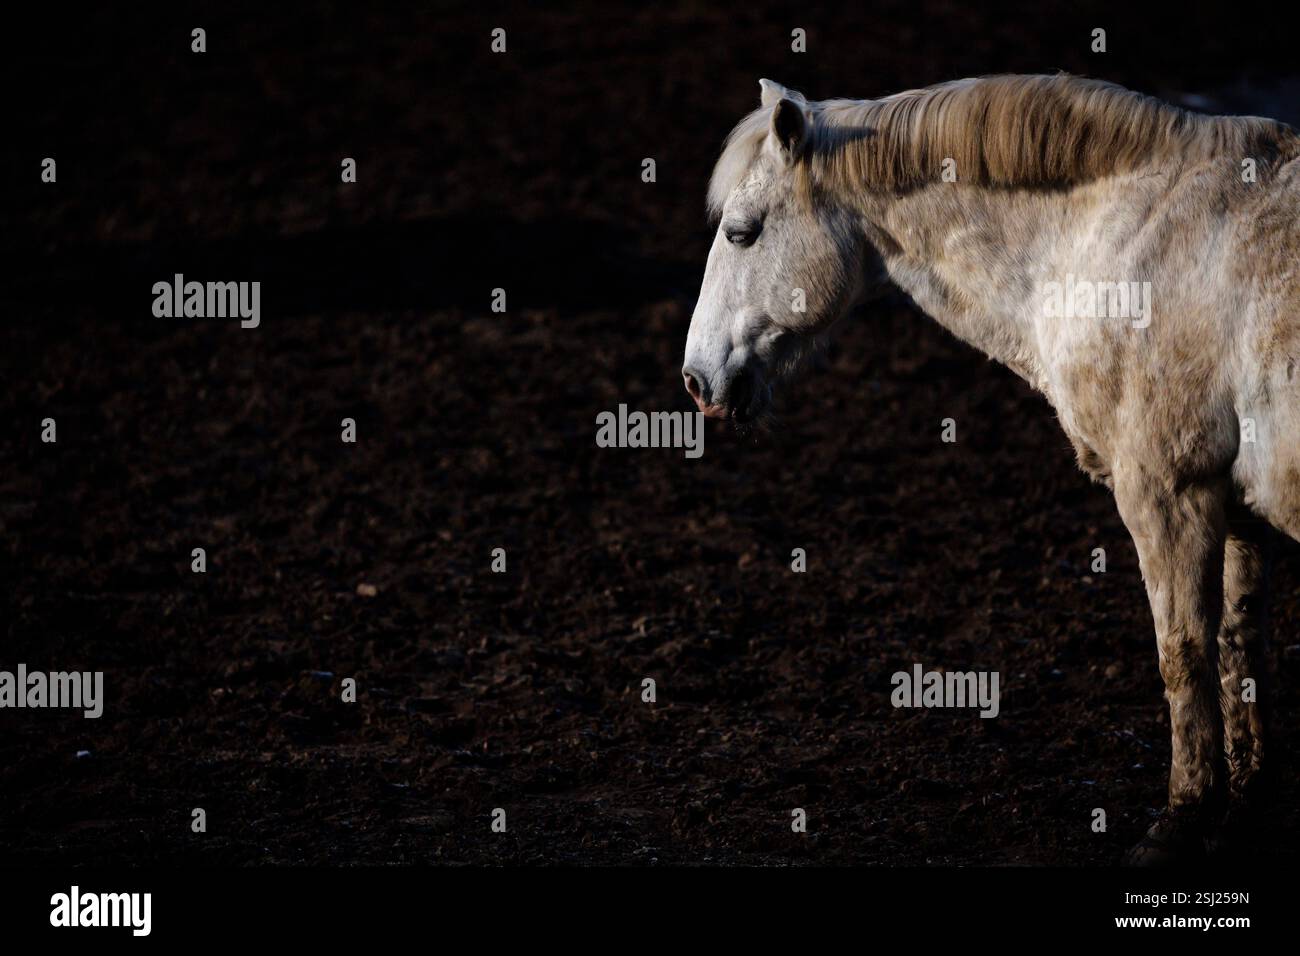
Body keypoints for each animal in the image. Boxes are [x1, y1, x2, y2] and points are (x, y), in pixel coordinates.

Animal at [682, 73, 1300, 864]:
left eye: (742, 232)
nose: (696, 381)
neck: (1129, 235)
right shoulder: (1240, 514)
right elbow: (1238, 650)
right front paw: (1246, 803)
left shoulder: (1168, 494)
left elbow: (1183, 652)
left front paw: (1181, 819)